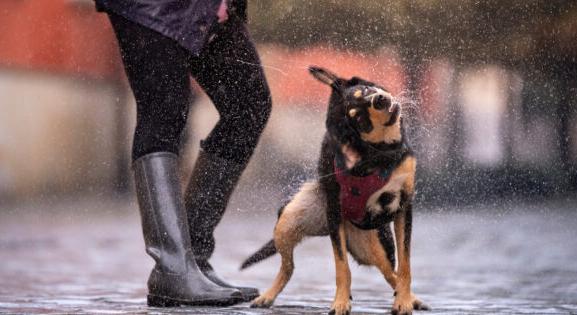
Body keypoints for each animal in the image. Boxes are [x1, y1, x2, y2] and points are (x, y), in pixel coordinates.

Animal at [240, 66, 428, 315]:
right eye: (359, 118)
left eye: (365, 90)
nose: (379, 99)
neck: (380, 153)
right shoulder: (334, 211)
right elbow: (342, 267)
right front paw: (340, 302)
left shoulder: (403, 206)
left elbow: (405, 264)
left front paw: (404, 302)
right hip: (289, 221)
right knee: (288, 267)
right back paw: (267, 296)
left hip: (376, 245)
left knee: (391, 272)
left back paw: (413, 299)